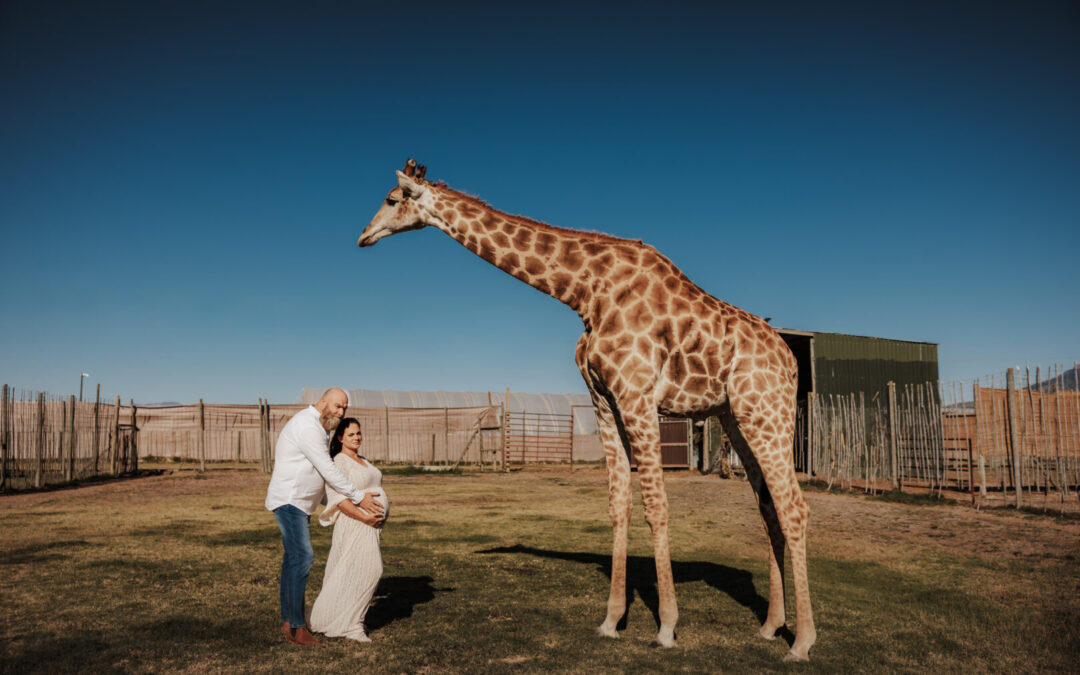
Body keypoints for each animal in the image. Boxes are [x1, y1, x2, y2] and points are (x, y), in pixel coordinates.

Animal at [357, 160, 816, 661]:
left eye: (392, 199)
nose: (363, 236)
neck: (584, 291)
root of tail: (792, 361)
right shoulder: (603, 399)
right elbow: (618, 504)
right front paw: (611, 621)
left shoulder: (637, 395)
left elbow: (656, 505)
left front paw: (666, 628)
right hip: (736, 417)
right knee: (768, 507)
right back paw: (771, 626)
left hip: (766, 412)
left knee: (794, 507)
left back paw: (802, 642)